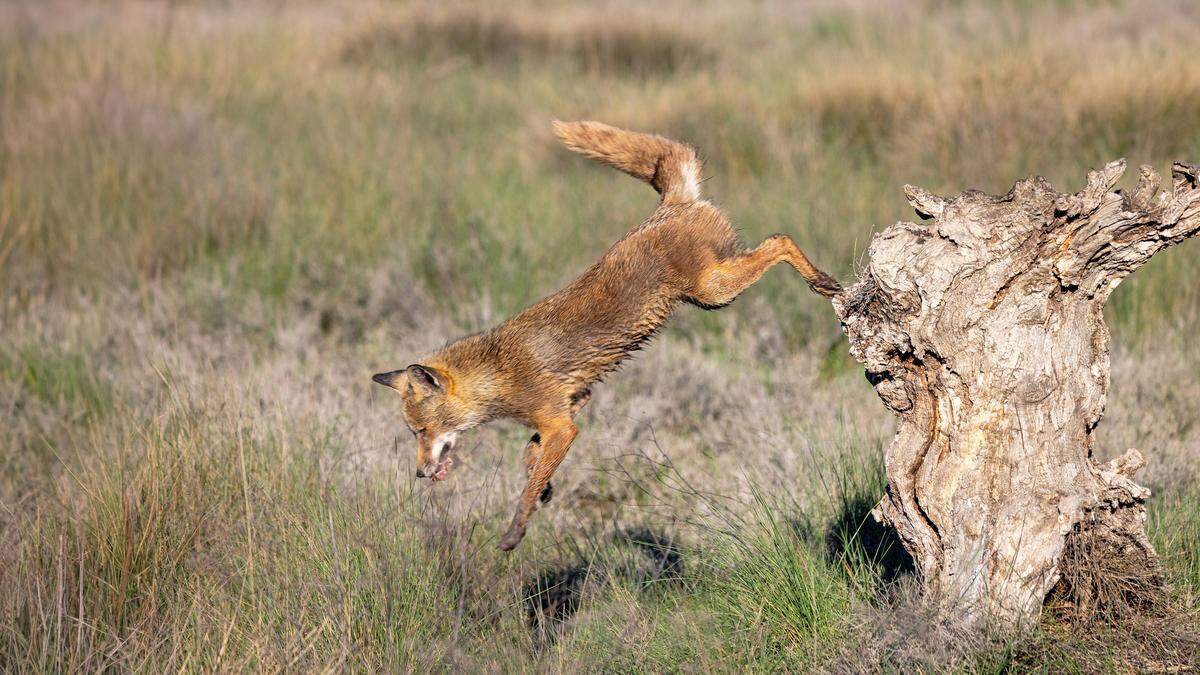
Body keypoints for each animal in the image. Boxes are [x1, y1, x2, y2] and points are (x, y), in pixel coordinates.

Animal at [369, 120, 840, 550]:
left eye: (420, 432)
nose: (419, 473)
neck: (498, 369)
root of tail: (671, 204)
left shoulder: (560, 424)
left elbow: (526, 483)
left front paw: (516, 529)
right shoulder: (575, 400)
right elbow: (529, 456)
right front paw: (543, 487)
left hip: (715, 292)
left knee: (780, 239)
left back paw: (822, 281)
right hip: (712, 291)